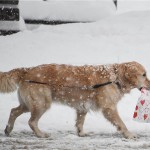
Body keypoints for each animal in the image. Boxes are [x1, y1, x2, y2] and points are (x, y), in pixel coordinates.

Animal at [0, 61, 149, 139]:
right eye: (144, 74)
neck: (115, 78)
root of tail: (26, 70)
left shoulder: (82, 106)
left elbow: (80, 122)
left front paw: (81, 133)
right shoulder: (109, 108)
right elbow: (121, 123)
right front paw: (129, 134)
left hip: (28, 104)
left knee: (13, 111)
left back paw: (8, 129)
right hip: (42, 103)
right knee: (31, 121)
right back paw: (40, 134)